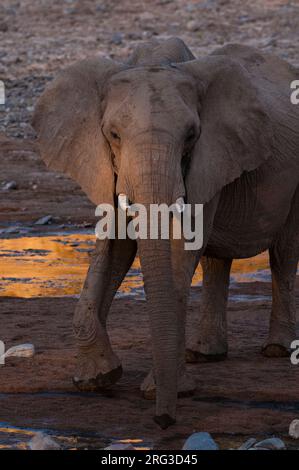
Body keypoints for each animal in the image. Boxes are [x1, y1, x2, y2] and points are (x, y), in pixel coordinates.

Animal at [32, 38, 299, 428]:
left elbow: (182, 247)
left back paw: (277, 349)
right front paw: (97, 378)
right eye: (113, 135)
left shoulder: (210, 157)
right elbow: (116, 245)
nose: (163, 421)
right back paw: (203, 354)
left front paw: (159, 390)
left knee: (284, 253)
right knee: (216, 261)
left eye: (191, 136)